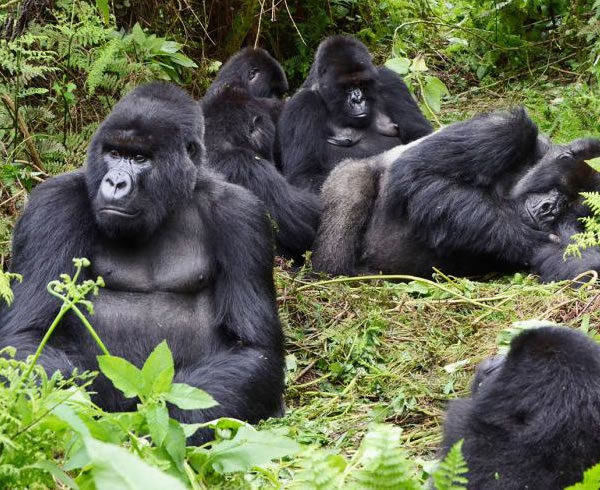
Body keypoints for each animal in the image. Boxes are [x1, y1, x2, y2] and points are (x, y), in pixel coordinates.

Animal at [0, 82, 286, 442]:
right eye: (114, 153)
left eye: (139, 158)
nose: (115, 182)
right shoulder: (51, 206)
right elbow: (26, 336)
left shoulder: (243, 215)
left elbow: (253, 348)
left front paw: (164, 423)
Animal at [278, 35, 434, 192]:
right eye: (346, 86)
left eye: (361, 83)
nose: (358, 100)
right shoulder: (301, 105)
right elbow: (305, 175)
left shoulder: (391, 81)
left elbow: (420, 135)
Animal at [312, 108, 600, 282]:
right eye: (561, 187)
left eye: (570, 203)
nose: (551, 207)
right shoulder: (505, 131)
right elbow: (419, 175)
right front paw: (522, 236)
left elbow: (569, 261)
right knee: (352, 183)